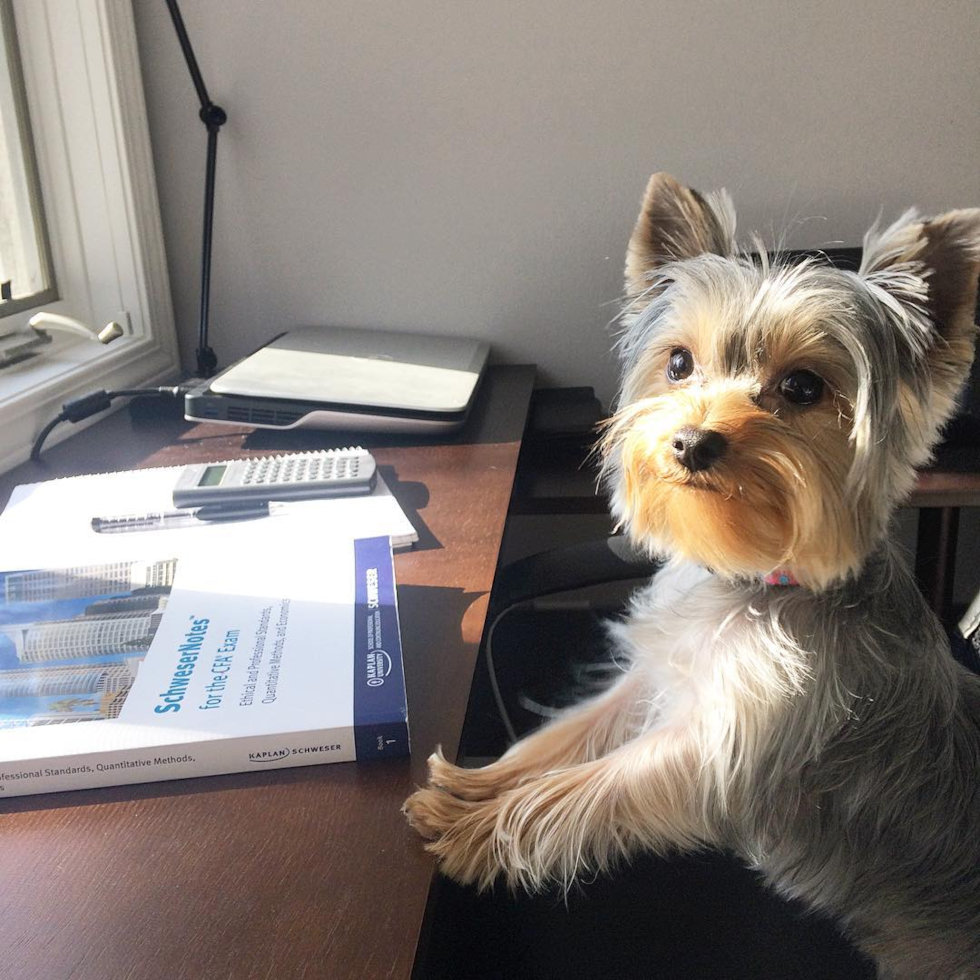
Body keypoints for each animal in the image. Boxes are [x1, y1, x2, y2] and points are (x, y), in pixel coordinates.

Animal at [404, 172, 980, 976]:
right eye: (678, 363)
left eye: (803, 388)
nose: (690, 441)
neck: (745, 578)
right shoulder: (655, 674)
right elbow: (561, 738)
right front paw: (467, 789)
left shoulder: (729, 744)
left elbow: (586, 785)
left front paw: (479, 830)